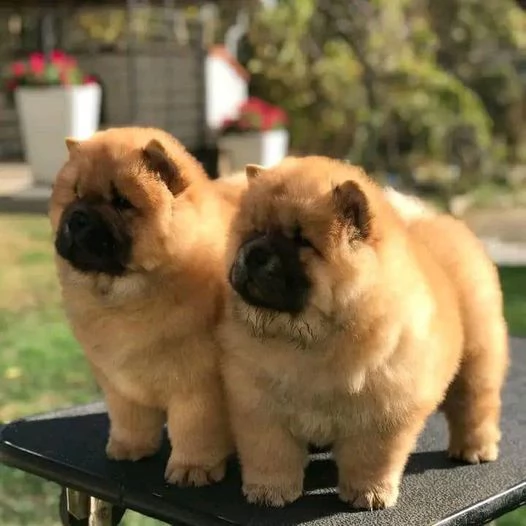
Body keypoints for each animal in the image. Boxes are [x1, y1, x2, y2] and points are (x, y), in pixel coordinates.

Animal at [48, 127, 244, 486]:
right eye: (75, 195)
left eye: (122, 203)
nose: (78, 217)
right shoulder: (119, 382)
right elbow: (130, 418)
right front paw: (129, 448)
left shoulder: (199, 386)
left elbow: (195, 430)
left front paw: (193, 469)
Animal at [220, 158, 512, 512]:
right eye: (254, 232)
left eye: (302, 241)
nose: (254, 253)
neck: (308, 341)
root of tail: (437, 220)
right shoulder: (258, 401)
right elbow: (270, 452)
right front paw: (269, 492)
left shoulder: (382, 410)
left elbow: (370, 458)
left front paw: (369, 495)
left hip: (477, 358)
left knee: (474, 403)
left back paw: (475, 449)